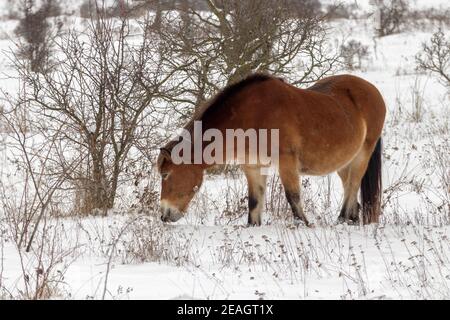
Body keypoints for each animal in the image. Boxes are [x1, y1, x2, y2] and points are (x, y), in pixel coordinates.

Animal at [156, 74, 384, 226]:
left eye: (166, 174)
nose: (165, 215)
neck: (251, 116)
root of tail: (372, 90)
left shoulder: (286, 162)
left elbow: (293, 196)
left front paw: (304, 224)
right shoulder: (252, 166)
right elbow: (254, 200)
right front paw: (253, 226)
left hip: (363, 154)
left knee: (353, 185)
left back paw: (342, 219)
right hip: (344, 162)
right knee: (349, 187)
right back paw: (353, 218)